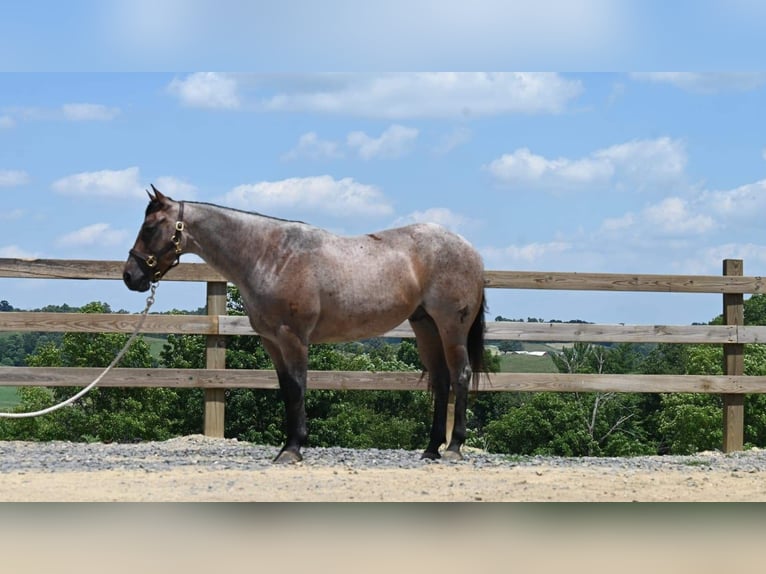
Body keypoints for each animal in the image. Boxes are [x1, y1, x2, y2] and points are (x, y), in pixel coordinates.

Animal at [124, 187, 488, 466]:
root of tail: (469, 248)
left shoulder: (293, 338)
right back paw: (431, 450)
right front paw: (289, 446)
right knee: (441, 381)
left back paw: (454, 448)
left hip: (450, 328)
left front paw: (293, 449)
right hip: (425, 325)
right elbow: (287, 388)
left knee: (460, 376)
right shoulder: (272, 341)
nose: (130, 276)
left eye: (150, 227)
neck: (270, 256)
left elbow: (298, 387)